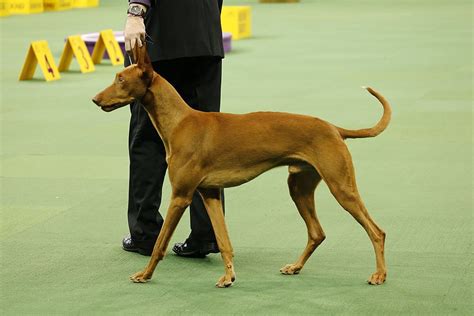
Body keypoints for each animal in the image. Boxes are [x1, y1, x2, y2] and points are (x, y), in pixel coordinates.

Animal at [91, 45, 388, 288]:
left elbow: (159, 244)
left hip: (341, 188)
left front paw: (145, 274)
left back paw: (379, 275)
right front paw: (228, 277)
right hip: (299, 187)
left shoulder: (180, 196)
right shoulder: (209, 194)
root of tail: (334, 128)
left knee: (377, 231)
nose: (95, 99)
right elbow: (224, 242)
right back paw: (295, 267)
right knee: (317, 233)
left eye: (120, 79)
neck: (179, 122)